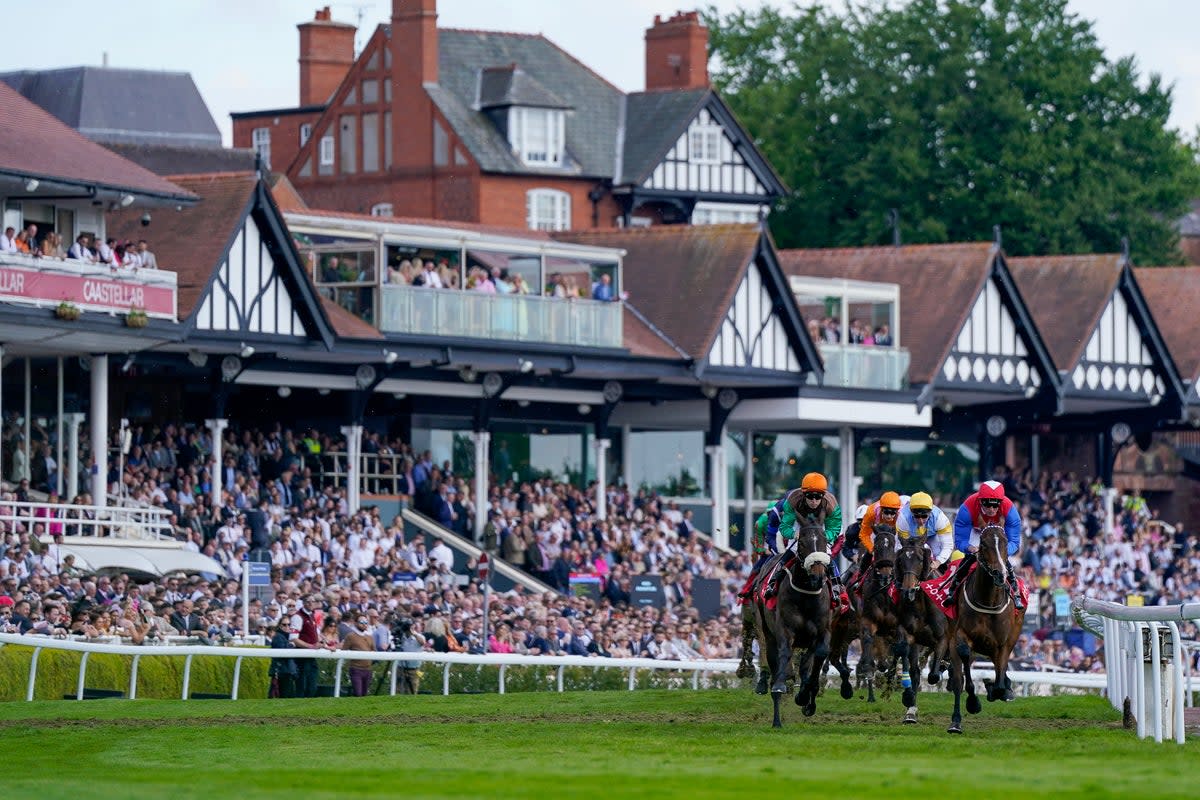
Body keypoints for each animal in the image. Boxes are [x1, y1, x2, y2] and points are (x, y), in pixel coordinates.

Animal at [753, 522, 830, 729]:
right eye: (801, 543)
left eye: (825, 541)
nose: (817, 576)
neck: (807, 595)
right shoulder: (785, 631)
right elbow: (785, 655)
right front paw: (782, 687)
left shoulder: (821, 632)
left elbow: (816, 659)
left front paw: (806, 698)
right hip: (768, 633)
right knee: (775, 662)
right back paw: (777, 719)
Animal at [897, 534, 950, 724]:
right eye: (901, 559)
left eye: (920, 559)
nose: (908, 591)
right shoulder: (911, 637)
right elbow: (913, 670)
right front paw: (909, 704)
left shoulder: (943, 638)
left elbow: (933, 676)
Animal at [945, 525, 1022, 738]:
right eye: (983, 544)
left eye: (1005, 542)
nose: (999, 574)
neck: (988, 600)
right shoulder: (961, 636)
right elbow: (965, 670)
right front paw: (974, 702)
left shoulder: (1003, 644)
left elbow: (1000, 683)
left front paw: (998, 689)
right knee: (958, 680)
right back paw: (956, 722)